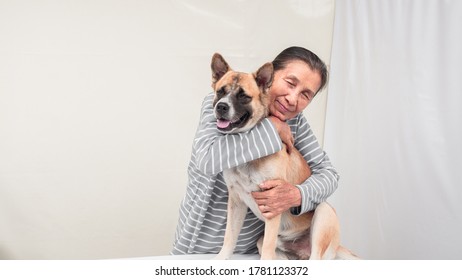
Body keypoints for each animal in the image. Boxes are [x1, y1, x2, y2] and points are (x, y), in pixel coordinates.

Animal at [209, 53, 358, 260]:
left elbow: (266, 248)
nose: (221, 107)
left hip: (323, 213)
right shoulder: (236, 202)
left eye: (243, 96)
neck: (249, 153)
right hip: (268, 241)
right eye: (220, 91)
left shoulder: (273, 206)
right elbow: (229, 238)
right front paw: (221, 258)